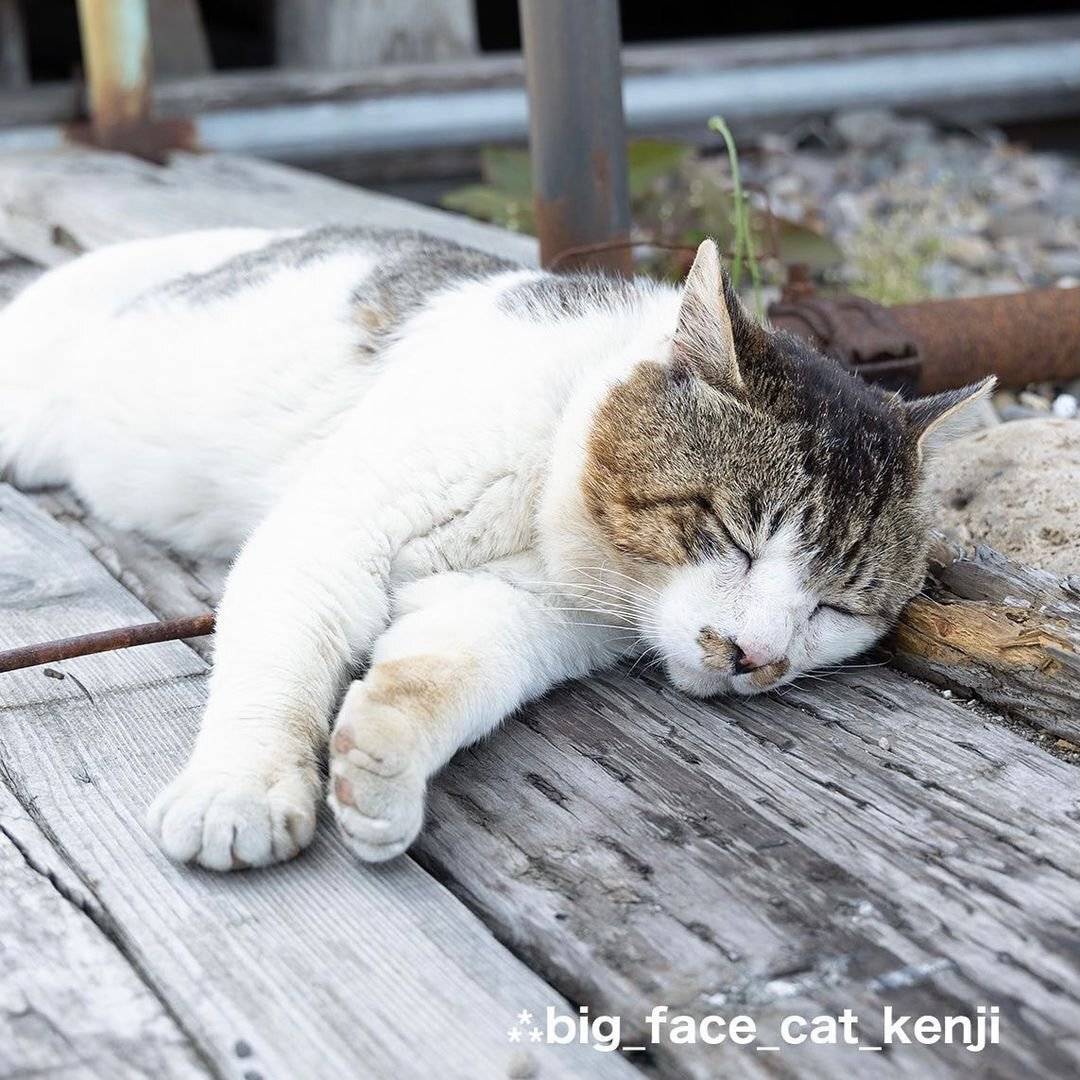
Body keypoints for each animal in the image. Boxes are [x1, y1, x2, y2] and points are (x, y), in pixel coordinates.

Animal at [0, 227, 989, 868]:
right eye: (738, 537)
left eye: (836, 608)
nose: (757, 656)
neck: (541, 512)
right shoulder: (329, 539)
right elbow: (276, 670)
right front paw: (239, 789)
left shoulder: (511, 610)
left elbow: (443, 674)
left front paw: (382, 762)